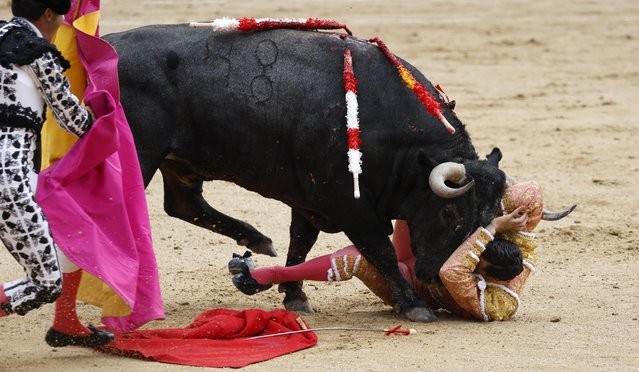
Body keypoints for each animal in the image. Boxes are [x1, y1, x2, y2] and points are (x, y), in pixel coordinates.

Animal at [104, 25, 504, 322]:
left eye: (485, 220)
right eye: (449, 213)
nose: (434, 276)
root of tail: (109, 44)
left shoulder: (310, 200)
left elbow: (300, 242)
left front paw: (293, 296)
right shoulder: (347, 204)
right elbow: (381, 250)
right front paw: (415, 306)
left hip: (179, 162)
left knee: (182, 204)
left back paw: (256, 240)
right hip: (142, 155)